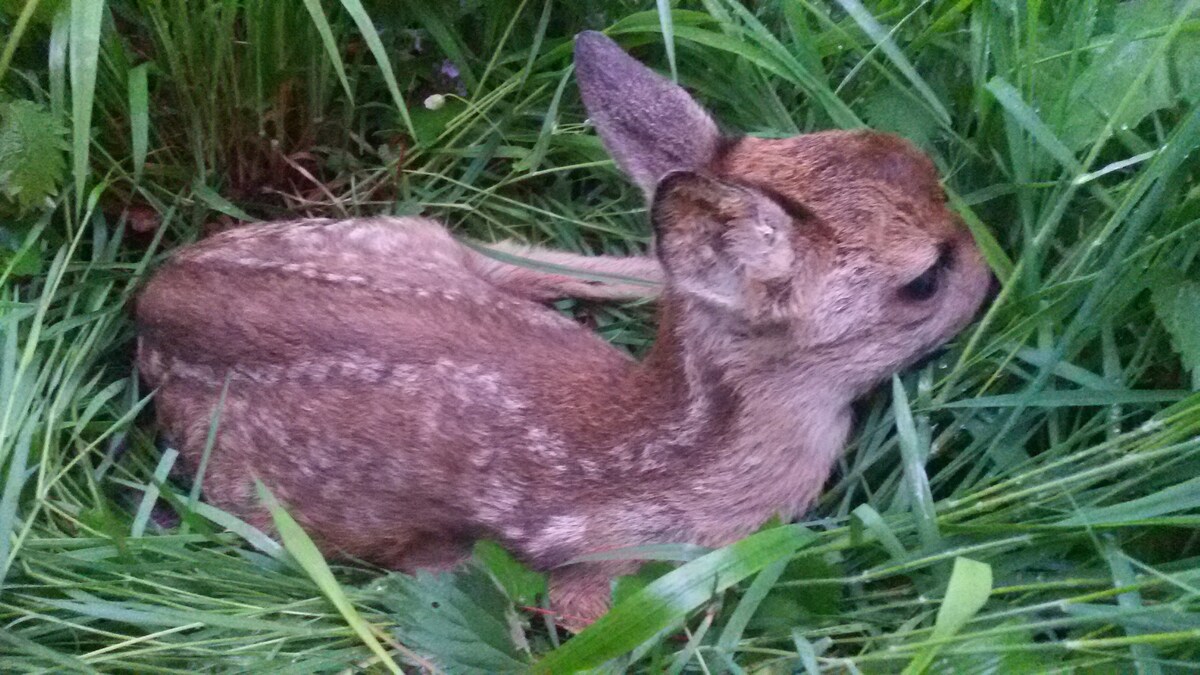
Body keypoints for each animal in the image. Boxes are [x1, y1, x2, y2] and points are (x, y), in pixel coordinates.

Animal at [136, 31, 993, 629]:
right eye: (924, 279)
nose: (992, 277)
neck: (683, 453)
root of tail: (156, 293)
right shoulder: (599, 578)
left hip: (420, 239)